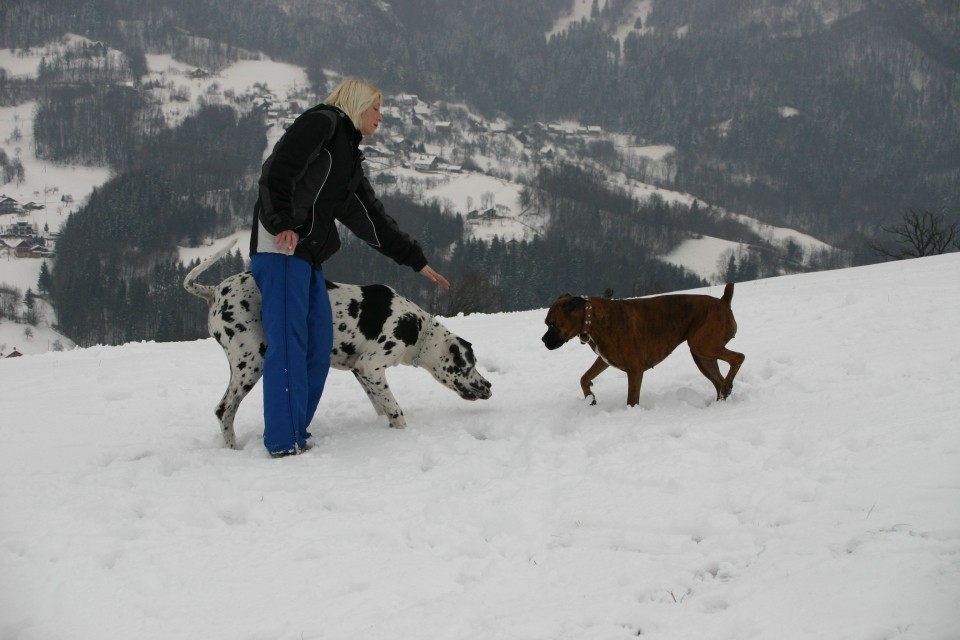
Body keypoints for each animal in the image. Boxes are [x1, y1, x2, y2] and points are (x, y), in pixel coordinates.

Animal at [184, 241, 492, 450]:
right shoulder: (371, 367)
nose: (488, 385)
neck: (416, 328)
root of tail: (214, 291)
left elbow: (381, 406)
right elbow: (395, 409)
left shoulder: (361, 372)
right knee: (224, 410)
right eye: (470, 364)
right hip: (250, 363)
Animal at [544, 284, 748, 404]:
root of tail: (723, 302)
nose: (543, 340)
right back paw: (723, 394)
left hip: (702, 345)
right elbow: (584, 378)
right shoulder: (604, 359)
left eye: (551, 324)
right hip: (702, 356)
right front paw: (590, 398)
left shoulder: (635, 371)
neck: (590, 317)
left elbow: (632, 399)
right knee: (718, 380)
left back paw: (726, 388)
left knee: (738, 358)